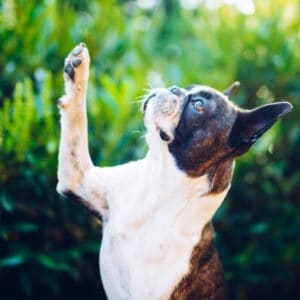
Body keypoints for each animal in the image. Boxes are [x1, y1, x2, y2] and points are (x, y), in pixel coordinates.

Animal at [56, 43, 292, 298]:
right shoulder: (76, 178)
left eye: (198, 106)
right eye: (187, 88)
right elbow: (77, 120)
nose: (175, 89)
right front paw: (77, 69)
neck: (159, 183)